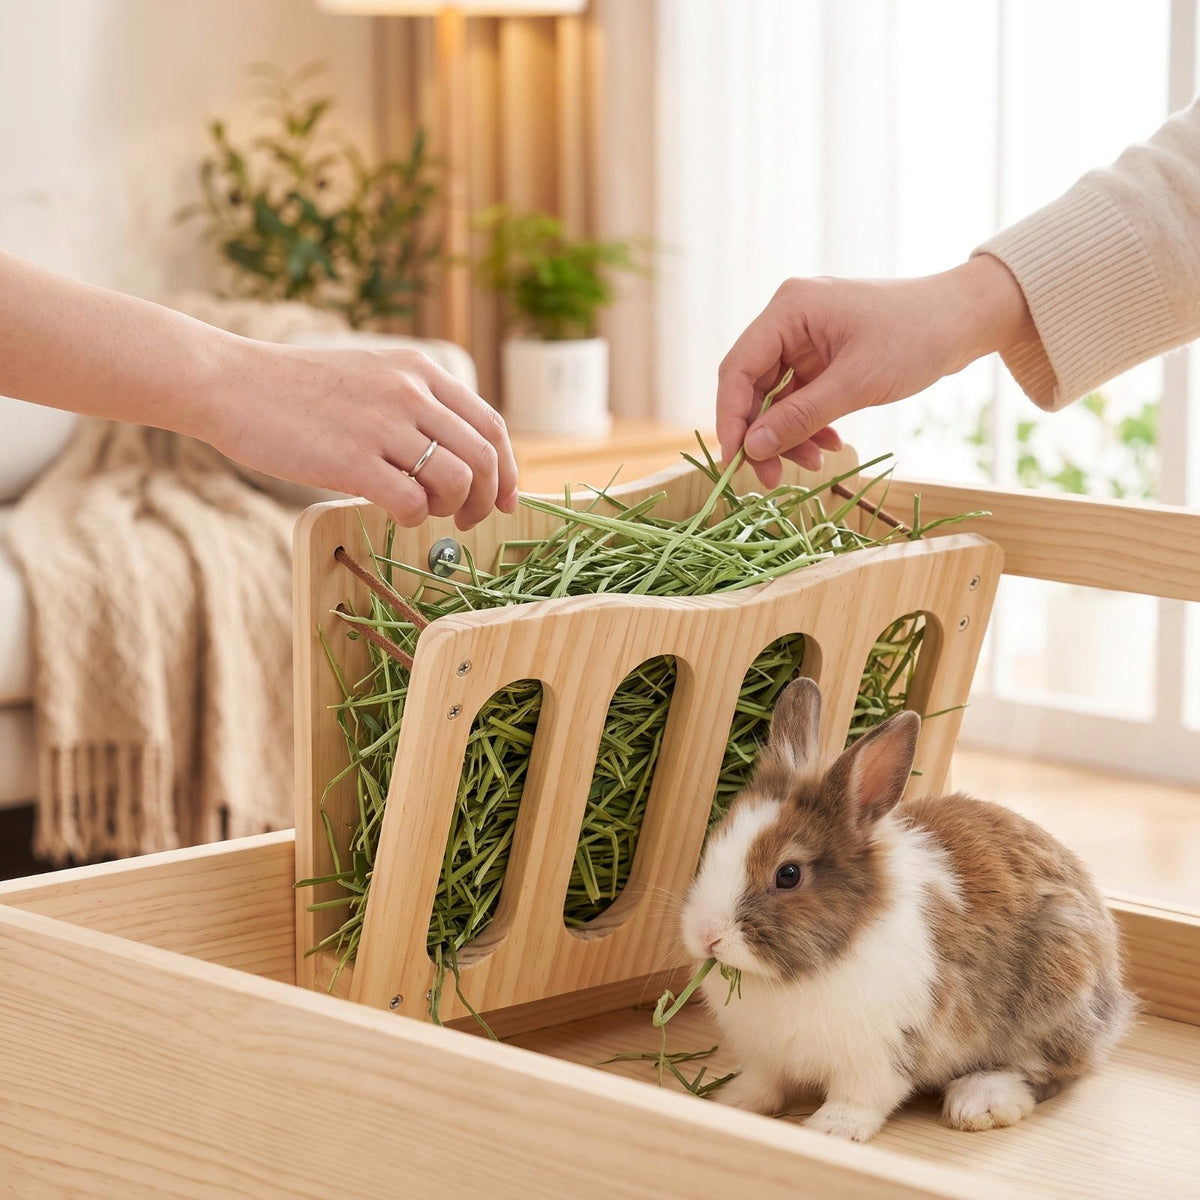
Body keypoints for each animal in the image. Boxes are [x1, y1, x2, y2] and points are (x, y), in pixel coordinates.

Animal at [680, 677, 1135, 1142]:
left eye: (788, 874)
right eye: (715, 840)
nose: (706, 935)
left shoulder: (884, 1053)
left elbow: (861, 1097)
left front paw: (831, 1130)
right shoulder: (766, 1056)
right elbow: (763, 1082)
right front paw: (734, 1103)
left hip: (1056, 992)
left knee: (1047, 1071)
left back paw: (979, 1102)